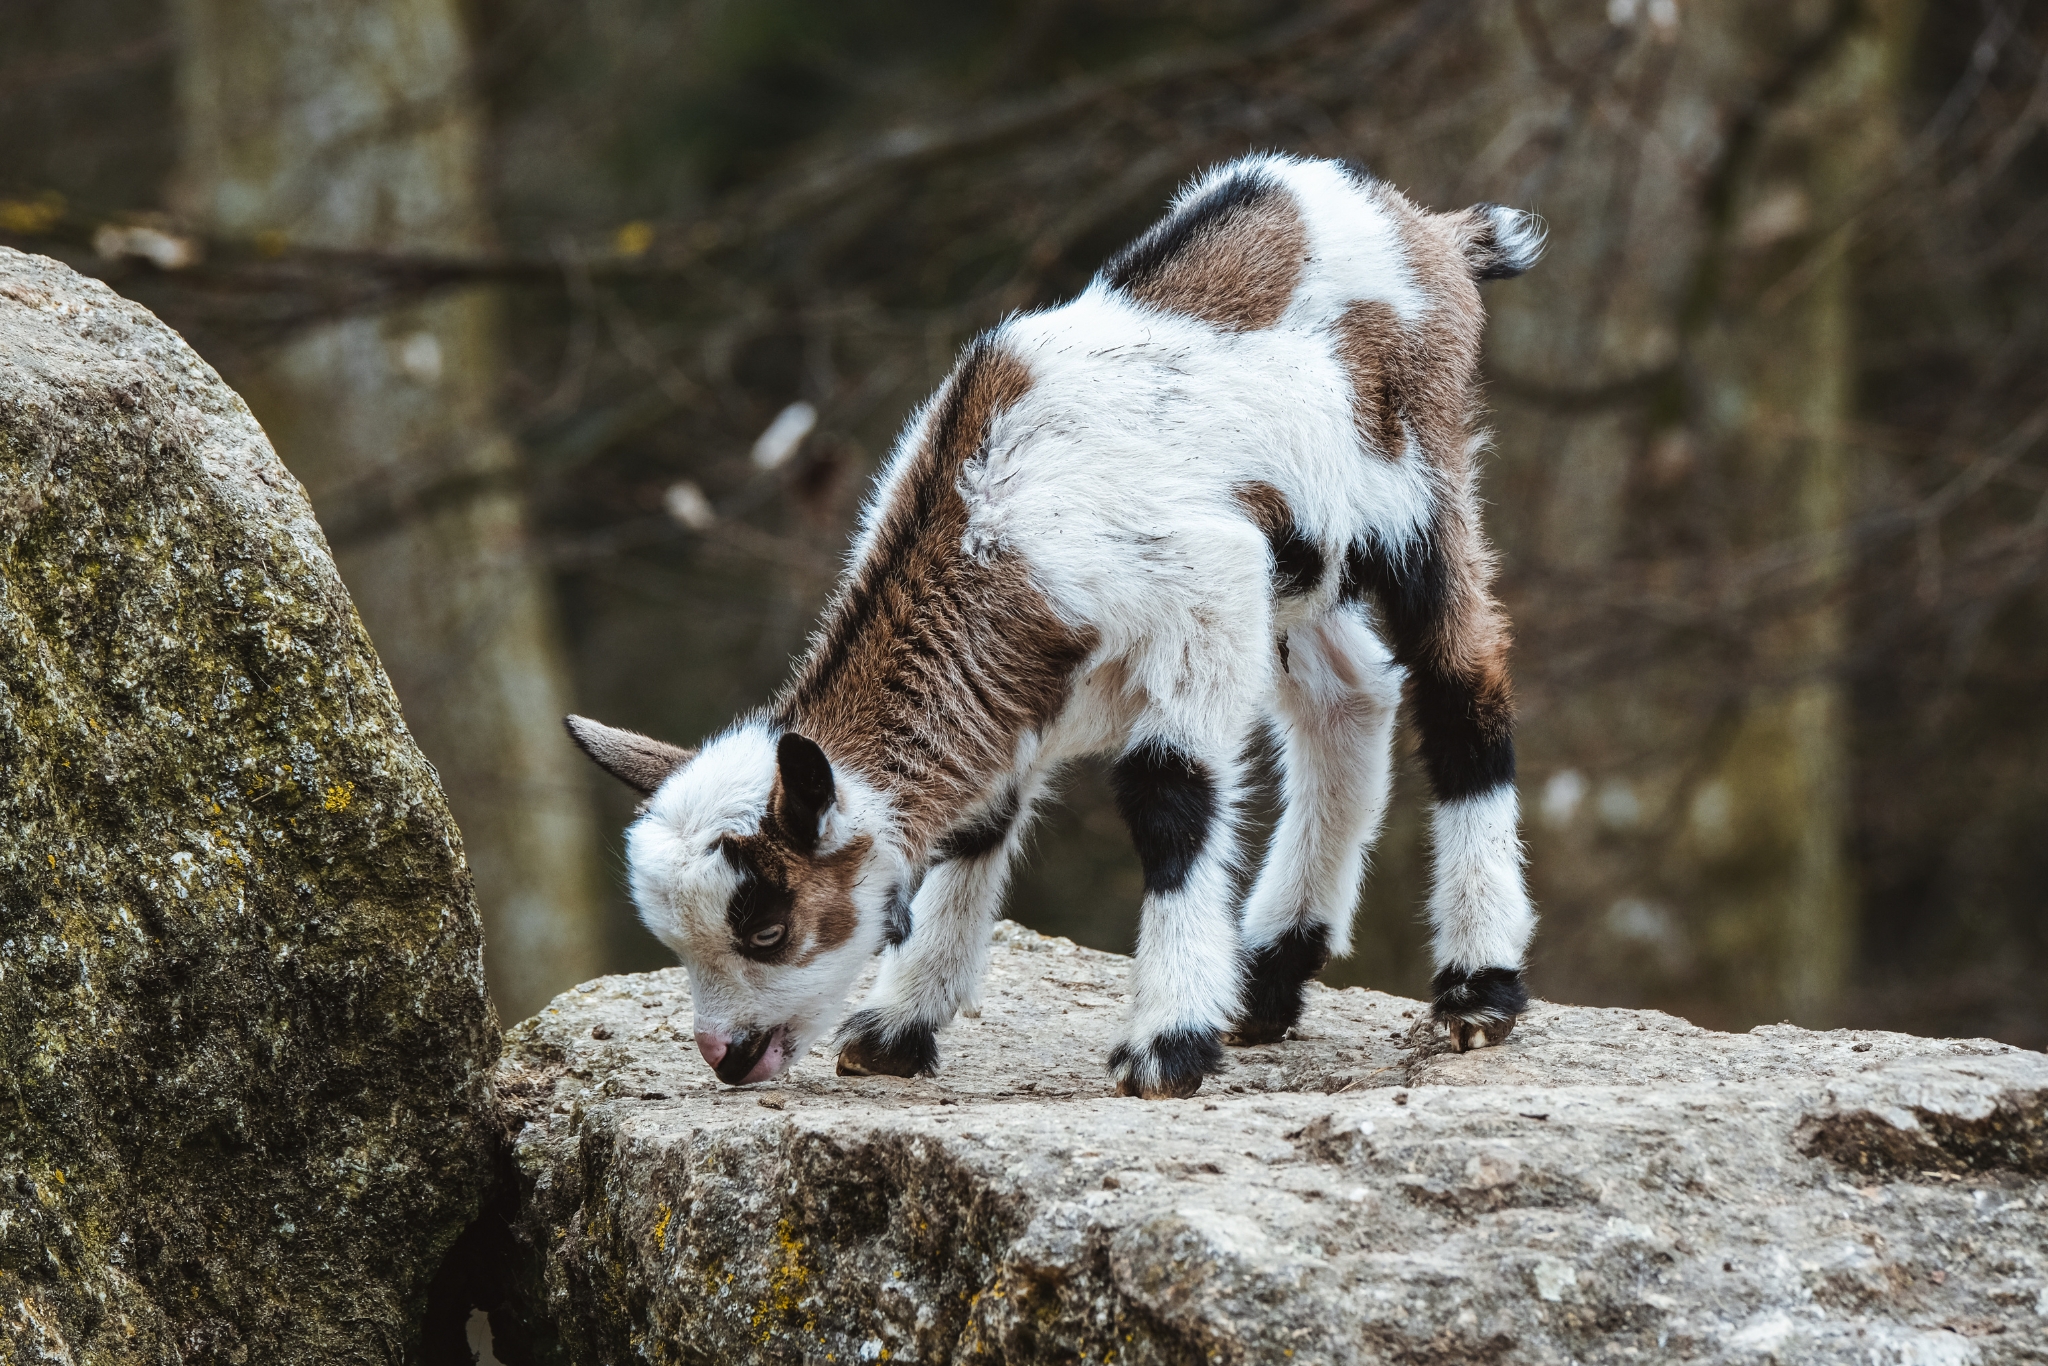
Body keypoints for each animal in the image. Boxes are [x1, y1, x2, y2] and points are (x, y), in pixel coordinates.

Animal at [566, 153, 1543, 1099]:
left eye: (767, 928)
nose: (727, 1055)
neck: (989, 523)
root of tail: (1424, 228)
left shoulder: (1206, 588)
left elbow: (1170, 798)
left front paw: (1165, 1047)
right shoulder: (1032, 687)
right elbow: (978, 821)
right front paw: (896, 1029)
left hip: (1419, 478)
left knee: (1461, 680)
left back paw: (1478, 989)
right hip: (1303, 581)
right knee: (1350, 698)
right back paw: (1267, 983)